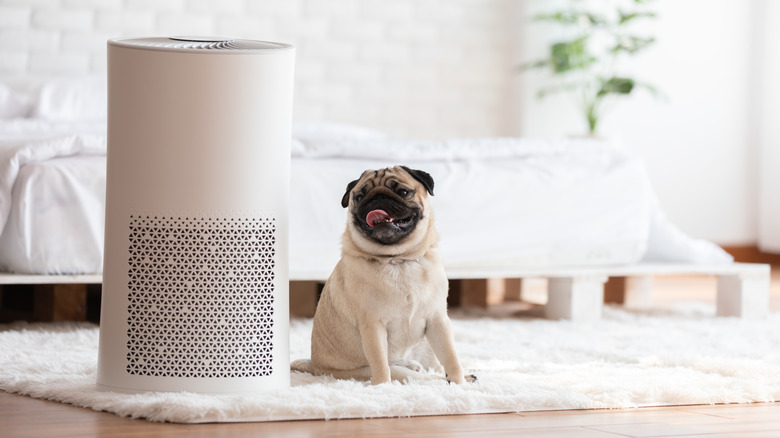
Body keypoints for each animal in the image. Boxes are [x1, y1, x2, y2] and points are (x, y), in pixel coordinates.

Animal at [292, 166, 476, 384]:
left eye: (403, 192)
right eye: (359, 196)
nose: (378, 197)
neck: (399, 260)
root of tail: (316, 368)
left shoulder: (438, 321)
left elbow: (451, 357)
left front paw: (459, 382)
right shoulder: (373, 325)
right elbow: (379, 361)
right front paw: (382, 386)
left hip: (428, 348)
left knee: (434, 367)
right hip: (381, 370)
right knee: (415, 376)